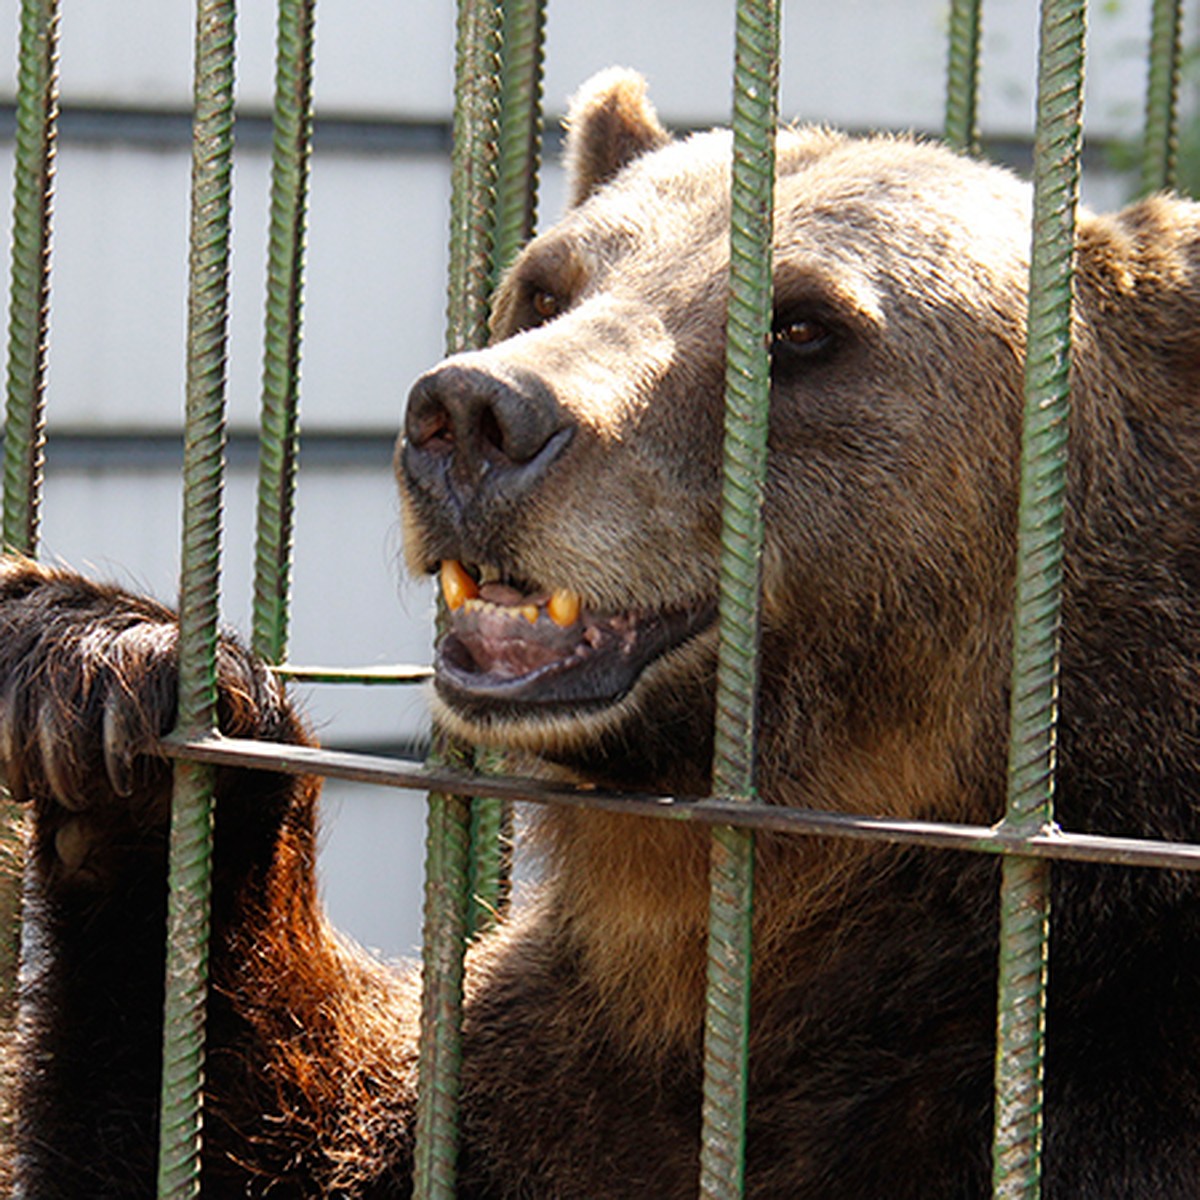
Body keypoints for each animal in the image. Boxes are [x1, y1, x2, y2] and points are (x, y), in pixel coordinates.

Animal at [2, 68, 1200, 1200]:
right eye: (546, 286)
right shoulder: (536, 1083)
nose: (472, 416)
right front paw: (104, 677)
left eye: (803, 324)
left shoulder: (1087, 1082)